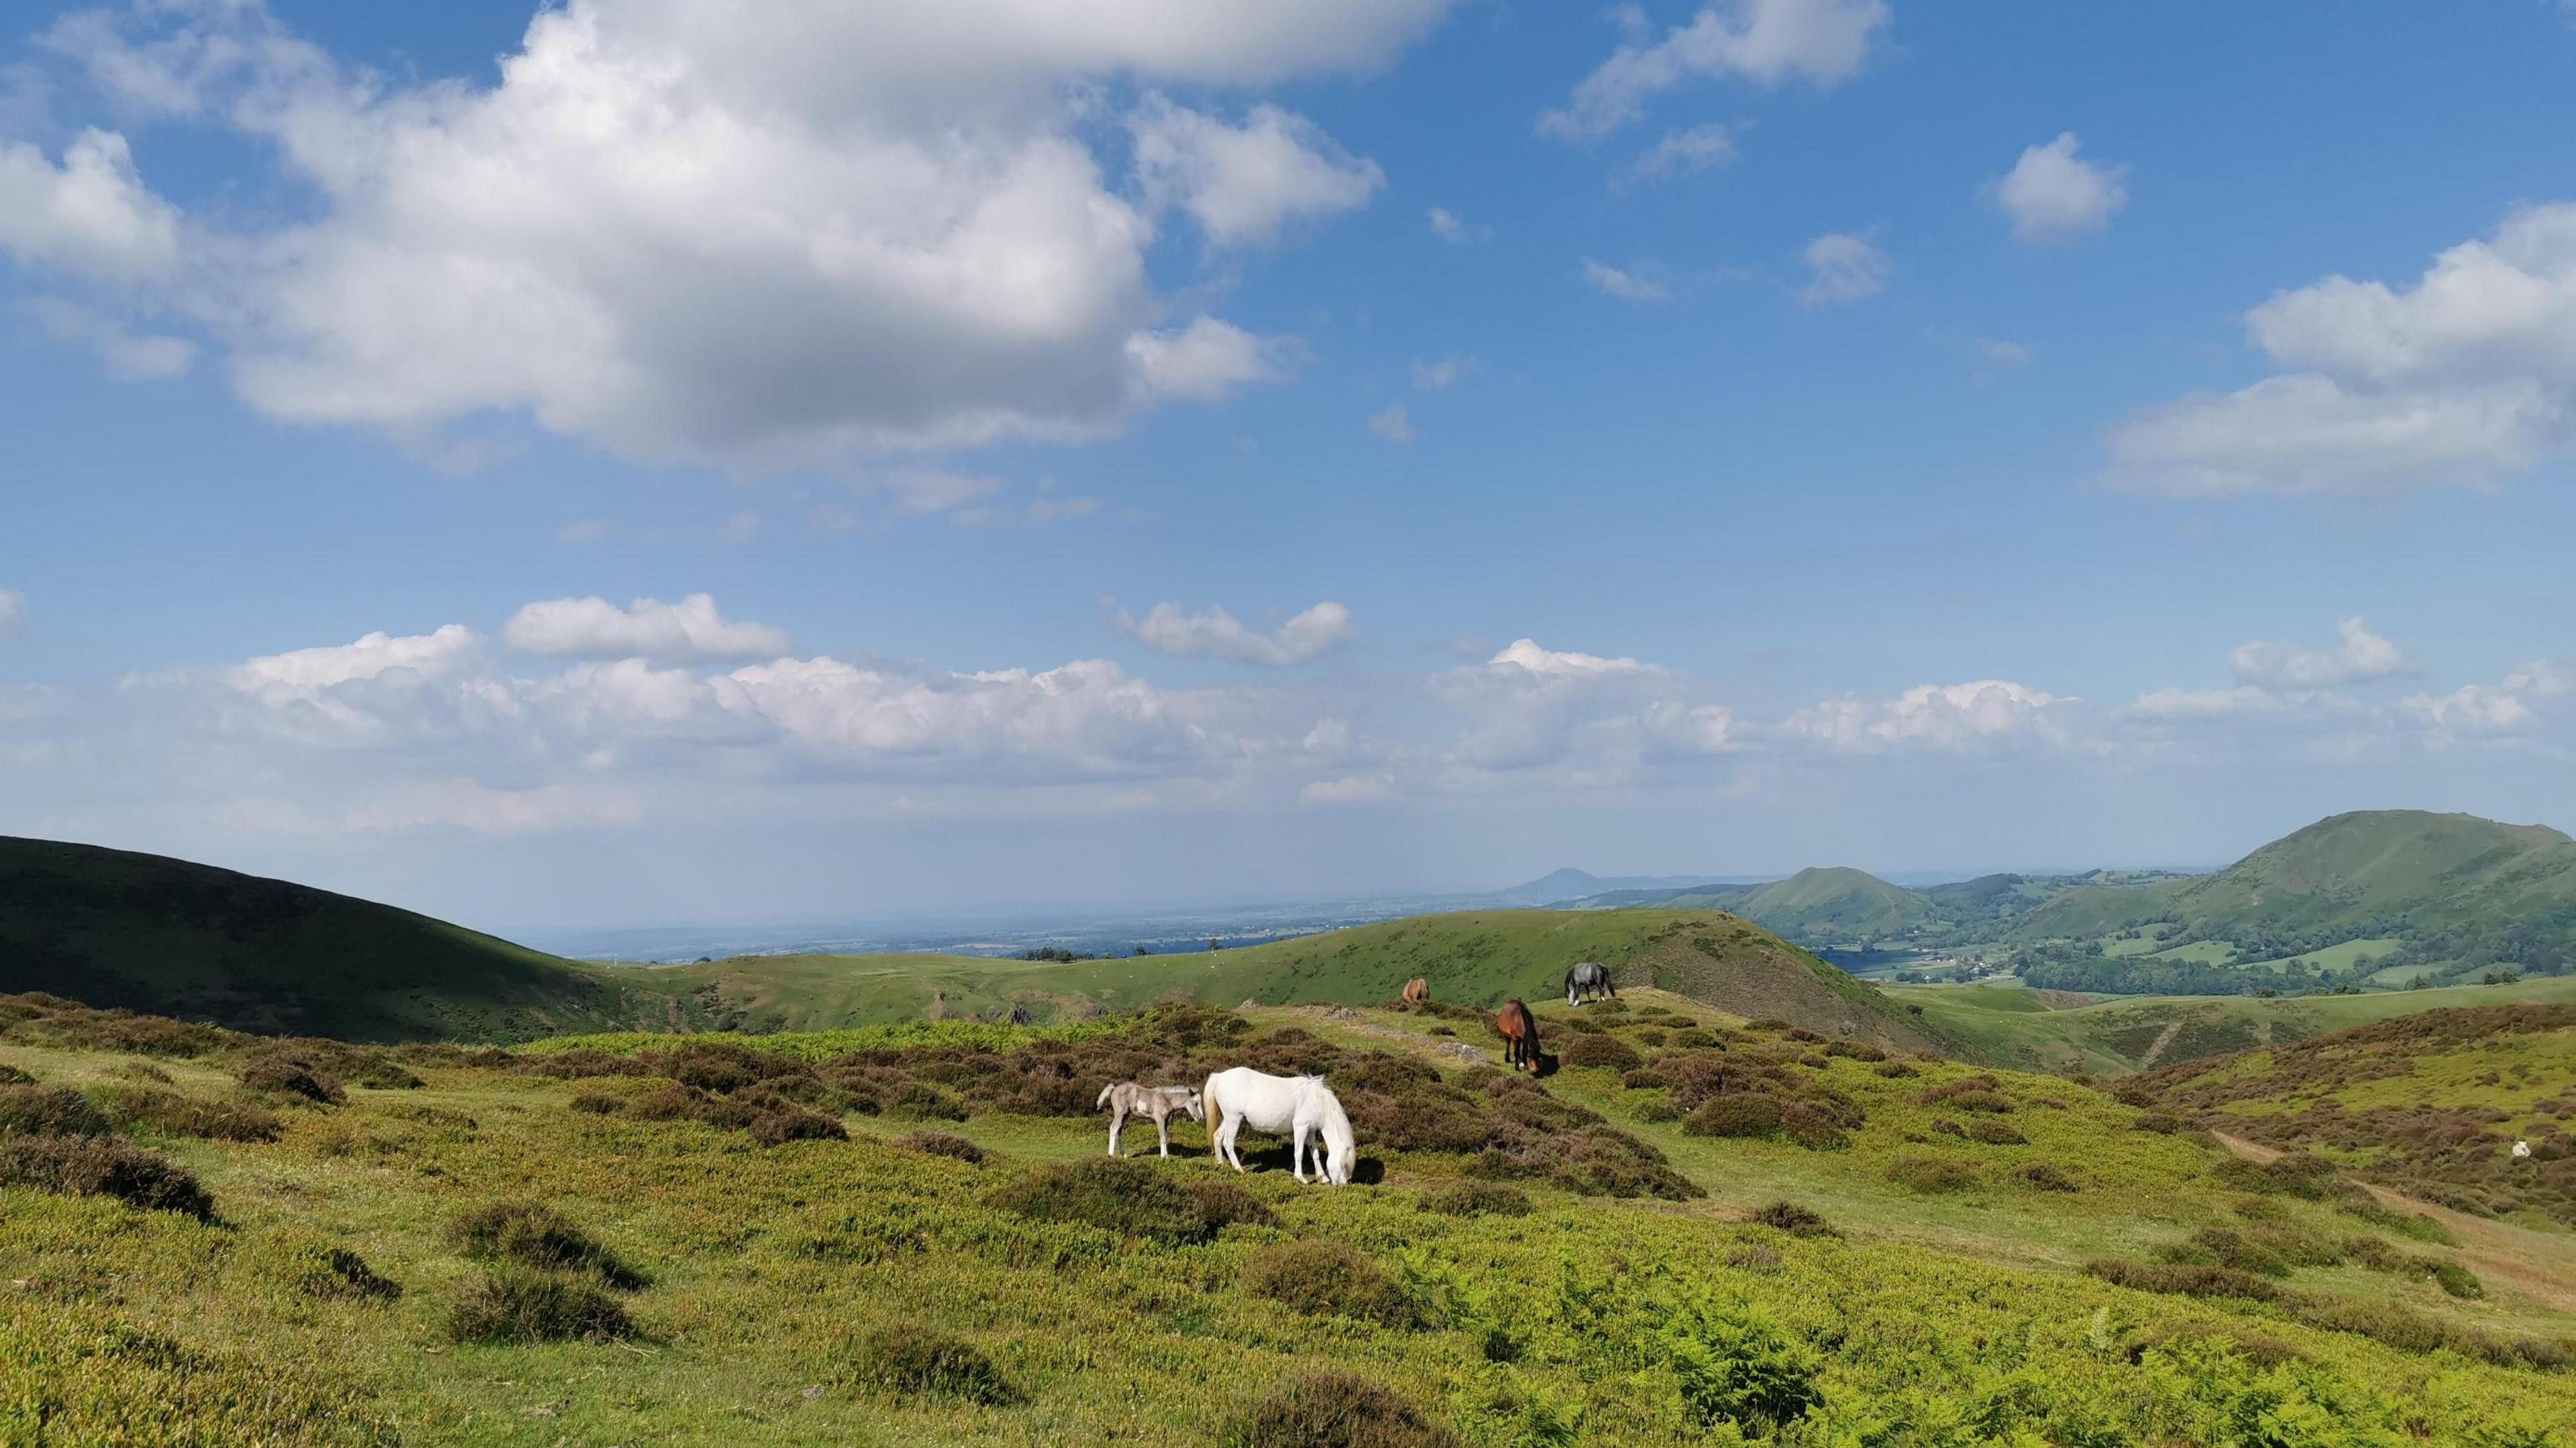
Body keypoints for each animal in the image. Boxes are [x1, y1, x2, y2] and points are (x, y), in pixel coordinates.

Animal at [1205, 1061, 1360, 1185]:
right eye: (1345, 1165)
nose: (1343, 1185)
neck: (1316, 1100)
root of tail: (1220, 1077)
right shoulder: (1300, 1129)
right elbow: (1299, 1153)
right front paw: (1301, 1178)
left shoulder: (1310, 1131)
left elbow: (1314, 1153)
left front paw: (1322, 1178)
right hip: (1234, 1119)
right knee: (1228, 1142)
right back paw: (1239, 1169)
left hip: (1228, 1119)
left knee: (1217, 1136)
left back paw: (1220, 1164)